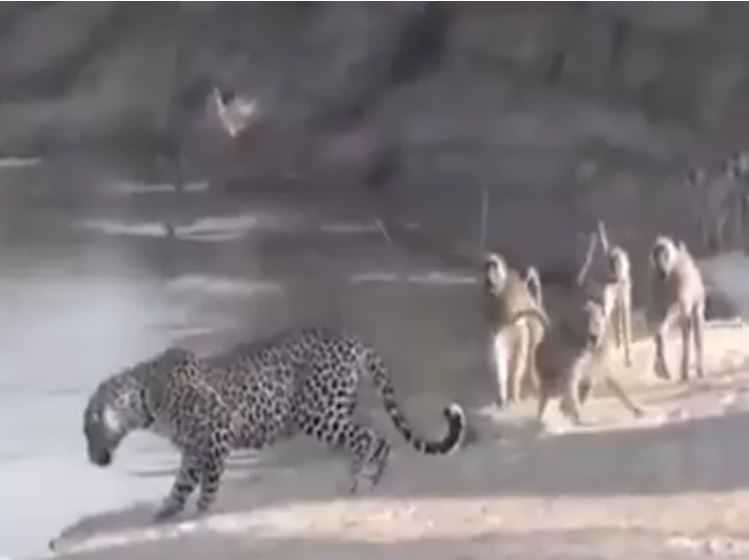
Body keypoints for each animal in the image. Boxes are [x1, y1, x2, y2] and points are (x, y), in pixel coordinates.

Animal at [83, 327, 467, 521]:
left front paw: (201, 512)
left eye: (89, 430)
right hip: (341, 407)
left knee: (365, 438)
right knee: (379, 438)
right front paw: (168, 510)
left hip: (317, 413)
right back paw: (373, 480)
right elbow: (181, 483)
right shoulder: (192, 447)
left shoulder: (216, 433)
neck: (145, 397)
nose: (91, 459)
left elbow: (207, 483)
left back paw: (353, 483)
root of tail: (355, 341)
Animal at [483, 253, 549, 408]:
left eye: (493, 265)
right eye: (487, 265)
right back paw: (506, 394)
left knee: (522, 361)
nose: (489, 274)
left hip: (520, 337)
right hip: (508, 338)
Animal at [649, 235, 706, 383]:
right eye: (656, 253)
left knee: (692, 326)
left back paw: (696, 370)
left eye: (664, 253)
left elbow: (679, 307)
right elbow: (656, 317)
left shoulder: (680, 274)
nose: (661, 266)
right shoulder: (655, 279)